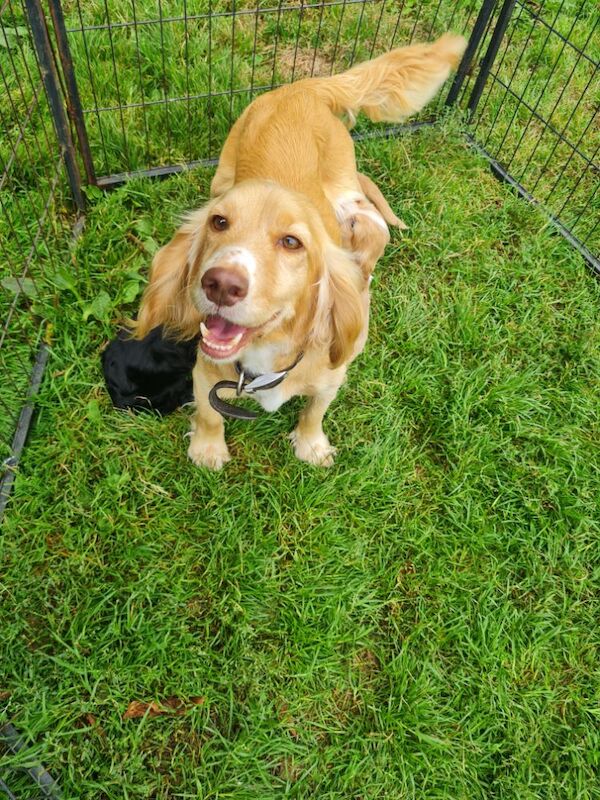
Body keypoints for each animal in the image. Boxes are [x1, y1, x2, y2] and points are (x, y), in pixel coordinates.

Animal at [134, 34, 466, 466]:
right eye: (218, 222)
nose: (220, 284)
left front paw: (311, 445)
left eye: (292, 242)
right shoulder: (205, 370)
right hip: (223, 173)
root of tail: (304, 87)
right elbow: (209, 413)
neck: (266, 354)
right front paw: (207, 449)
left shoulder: (332, 375)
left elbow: (314, 410)